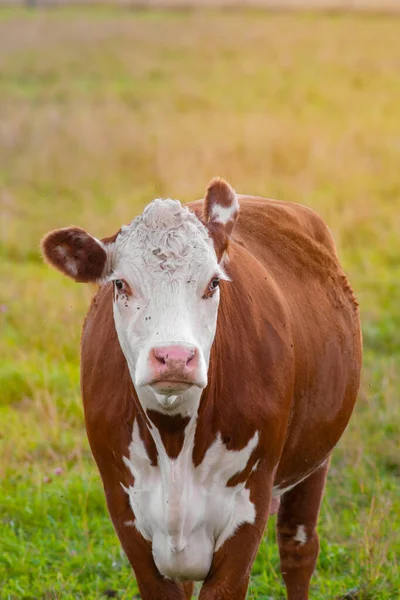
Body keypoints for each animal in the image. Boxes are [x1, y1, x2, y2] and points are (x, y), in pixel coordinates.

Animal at [41, 179, 362, 600]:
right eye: (120, 284)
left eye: (212, 282)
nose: (174, 357)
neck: (174, 436)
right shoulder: (124, 508)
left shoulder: (249, 507)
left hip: (315, 459)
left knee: (298, 548)